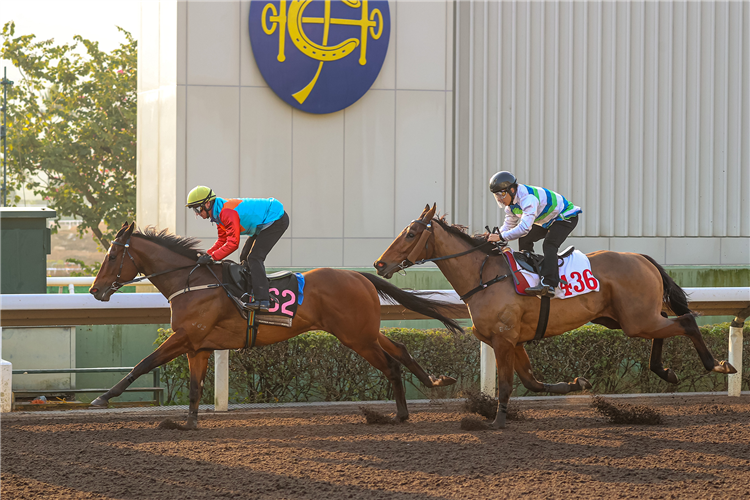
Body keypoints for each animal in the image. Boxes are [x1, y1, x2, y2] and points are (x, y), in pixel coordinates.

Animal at [88, 223, 464, 430]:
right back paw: (431, 385)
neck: (191, 282)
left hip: (356, 337)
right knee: (399, 350)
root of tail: (359, 275)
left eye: (111, 256)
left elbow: (142, 364)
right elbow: (195, 387)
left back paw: (399, 414)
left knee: (389, 365)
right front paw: (189, 423)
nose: (94, 290)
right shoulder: (199, 345)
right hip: (364, 332)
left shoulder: (184, 337)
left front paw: (102, 398)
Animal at [374, 204, 736, 430]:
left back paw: (718, 365)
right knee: (663, 327)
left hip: (636, 319)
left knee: (685, 322)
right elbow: (531, 381)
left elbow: (507, 383)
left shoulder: (503, 339)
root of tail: (641, 257)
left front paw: (497, 421)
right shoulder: (513, 340)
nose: (379, 264)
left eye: (411, 233)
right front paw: (577, 383)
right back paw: (665, 371)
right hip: (625, 318)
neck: (485, 277)